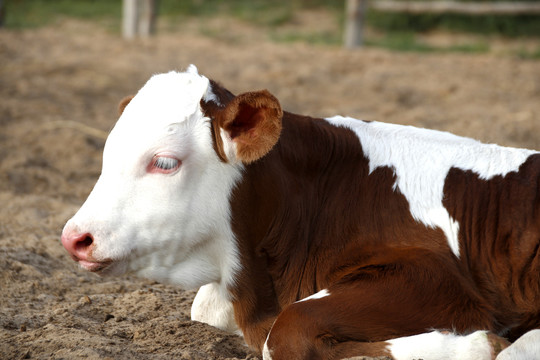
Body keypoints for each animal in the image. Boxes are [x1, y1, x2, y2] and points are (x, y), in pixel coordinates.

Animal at [62, 65, 540, 360]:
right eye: (106, 152)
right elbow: (207, 311)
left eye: (164, 162)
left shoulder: (437, 279)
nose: (74, 237)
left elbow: (289, 330)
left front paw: (478, 345)